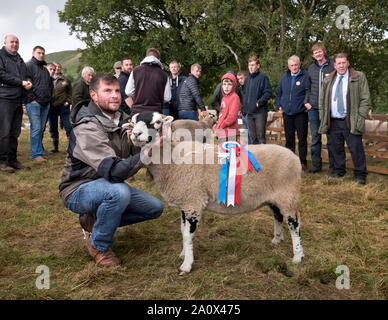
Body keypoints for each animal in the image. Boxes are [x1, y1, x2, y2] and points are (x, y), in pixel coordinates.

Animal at [132, 111, 304, 274]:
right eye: (133, 122)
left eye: (157, 122)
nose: (135, 134)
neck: (172, 160)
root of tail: (294, 158)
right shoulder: (184, 203)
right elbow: (183, 231)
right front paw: (183, 254)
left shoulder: (193, 202)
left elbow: (188, 235)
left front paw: (186, 265)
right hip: (275, 196)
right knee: (278, 216)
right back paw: (277, 240)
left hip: (288, 194)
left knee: (294, 224)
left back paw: (298, 256)